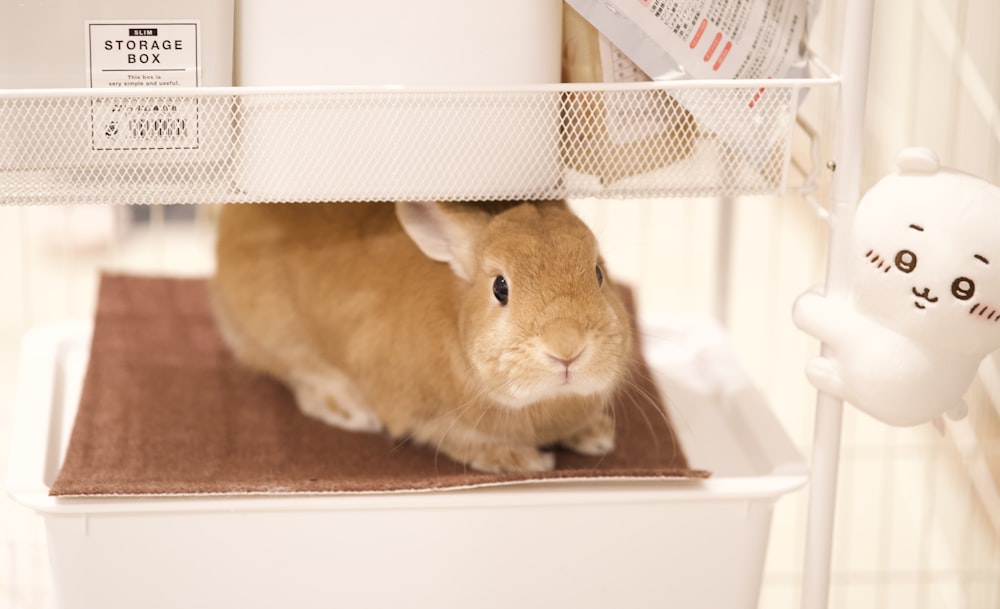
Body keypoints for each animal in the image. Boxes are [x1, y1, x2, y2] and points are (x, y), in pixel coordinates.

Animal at [211, 202, 632, 472]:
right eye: (500, 287)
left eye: (598, 274)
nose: (567, 348)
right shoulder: (425, 415)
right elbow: (456, 438)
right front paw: (525, 461)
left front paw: (597, 436)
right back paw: (349, 409)